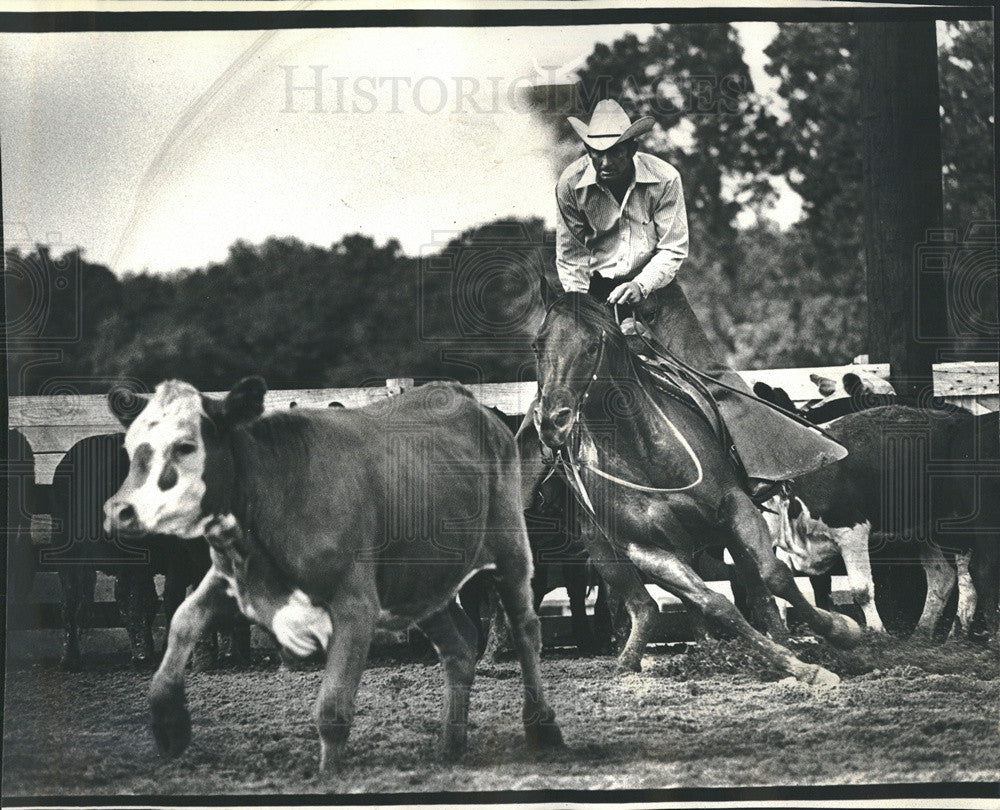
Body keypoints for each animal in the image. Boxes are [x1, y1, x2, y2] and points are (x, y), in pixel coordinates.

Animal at [109, 378, 568, 772]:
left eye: (186, 446)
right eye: (130, 447)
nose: (120, 511)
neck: (273, 484)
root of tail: (464, 398)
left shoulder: (354, 606)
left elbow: (332, 706)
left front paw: (330, 775)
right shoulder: (231, 578)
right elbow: (183, 620)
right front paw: (169, 725)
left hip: (510, 548)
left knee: (525, 629)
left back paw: (543, 726)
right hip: (418, 582)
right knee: (459, 646)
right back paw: (450, 744)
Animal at [528, 292, 864, 680]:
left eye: (591, 346)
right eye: (538, 344)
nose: (552, 422)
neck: (640, 451)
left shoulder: (735, 509)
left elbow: (775, 575)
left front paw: (841, 631)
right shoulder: (647, 550)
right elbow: (714, 604)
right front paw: (795, 665)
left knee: (757, 592)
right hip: (603, 549)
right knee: (644, 606)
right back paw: (638, 660)